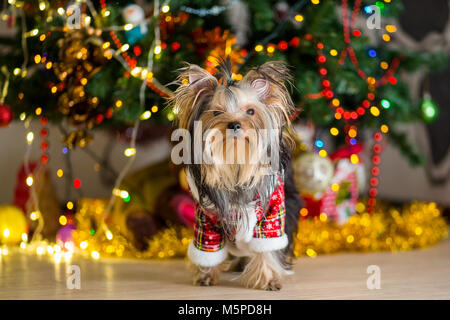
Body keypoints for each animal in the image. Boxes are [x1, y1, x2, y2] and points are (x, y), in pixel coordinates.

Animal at [169, 57, 302, 290]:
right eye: (216, 112)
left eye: (250, 111)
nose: (234, 124)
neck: (236, 163)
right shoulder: (206, 217)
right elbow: (207, 248)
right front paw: (205, 275)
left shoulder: (271, 212)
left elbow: (266, 246)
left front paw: (268, 279)